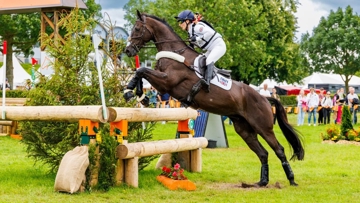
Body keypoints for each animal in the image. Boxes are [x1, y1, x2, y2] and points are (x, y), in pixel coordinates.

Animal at [124, 10, 304, 186]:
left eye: (137, 29)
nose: (128, 51)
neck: (175, 53)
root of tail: (265, 99)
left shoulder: (168, 82)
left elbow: (142, 70)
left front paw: (130, 92)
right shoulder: (163, 85)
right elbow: (140, 72)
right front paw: (138, 95)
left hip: (263, 127)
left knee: (279, 149)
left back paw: (291, 179)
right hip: (244, 129)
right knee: (263, 153)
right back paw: (262, 181)